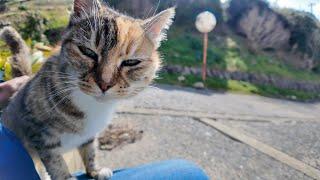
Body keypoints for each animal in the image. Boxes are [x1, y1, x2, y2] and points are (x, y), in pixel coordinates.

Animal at [0, 0, 175, 179]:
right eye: (87, 52)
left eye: (131, 62)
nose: (105, 83)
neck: (91, 106)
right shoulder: (38, 132)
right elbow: (55, 161)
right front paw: (65, 177)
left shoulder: (90, 135)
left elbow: (90, 150)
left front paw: (94, 170)